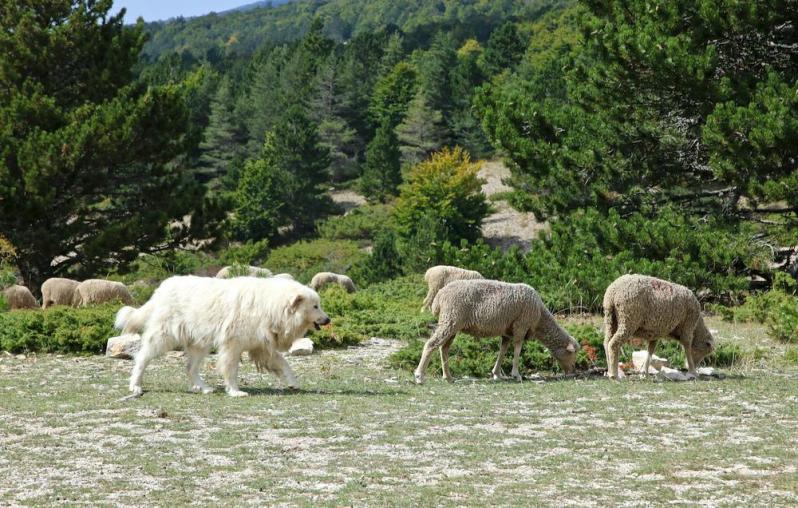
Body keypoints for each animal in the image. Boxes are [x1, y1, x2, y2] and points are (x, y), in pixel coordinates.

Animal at [114, 274, 330, 396]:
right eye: (315, 306)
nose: (328, 319)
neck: (271, 305)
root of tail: (161, 289)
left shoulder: (260, 346)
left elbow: (283, 363)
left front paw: (293, 382)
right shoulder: (232, 344)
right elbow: (231, 369)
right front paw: (234, 391)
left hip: (199, 343)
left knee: (190, 368)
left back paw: (204, 388)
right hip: (163, 336)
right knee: (142, 358)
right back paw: (135, 386)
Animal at [416, 278, 580, 384]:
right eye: (572, 353)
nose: (573, 372)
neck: (540, 317)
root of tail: (439, 296)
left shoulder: (507, 331)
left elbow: (503, 350)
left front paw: (497, 374)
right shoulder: (521, 325)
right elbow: (517, 348)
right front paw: (516, 374)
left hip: (452, 324)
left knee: (443, 348)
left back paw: (448, 377)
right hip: (450, 319)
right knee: (431, 344)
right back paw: (419, 376)